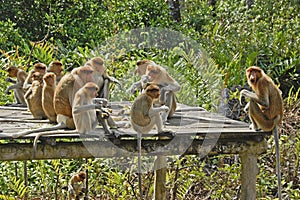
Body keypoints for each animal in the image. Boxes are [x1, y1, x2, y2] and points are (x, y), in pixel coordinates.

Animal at [239, 65, 284, 198]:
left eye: (255, 72)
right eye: (250, 72)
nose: (252, 76)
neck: (260, 77)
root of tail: (276, 121)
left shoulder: (261, 83)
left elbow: (264, 102)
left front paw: (243, 93)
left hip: (265, 121)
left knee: (253, 103)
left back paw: (255, 127)